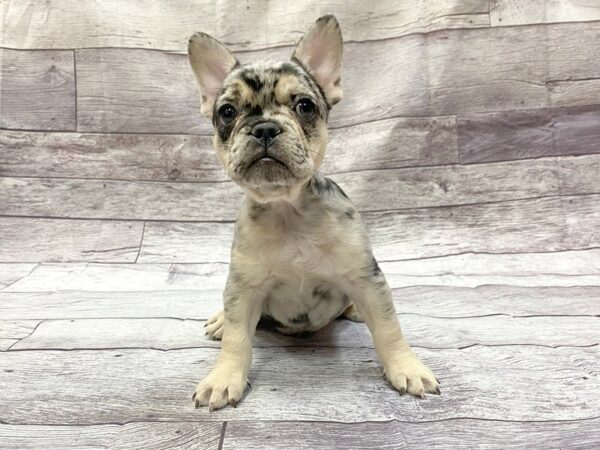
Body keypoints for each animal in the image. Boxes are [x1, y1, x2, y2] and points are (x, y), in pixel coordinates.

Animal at [190, 15, 438, 412]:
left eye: (305, 106)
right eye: (227, 112)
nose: (264, 127)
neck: (287, 209)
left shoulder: (365, 276)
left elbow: (388, 328)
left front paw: (406, 367)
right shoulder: (243, 288)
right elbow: (237, 339)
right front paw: (223, 377)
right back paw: (219, 320)